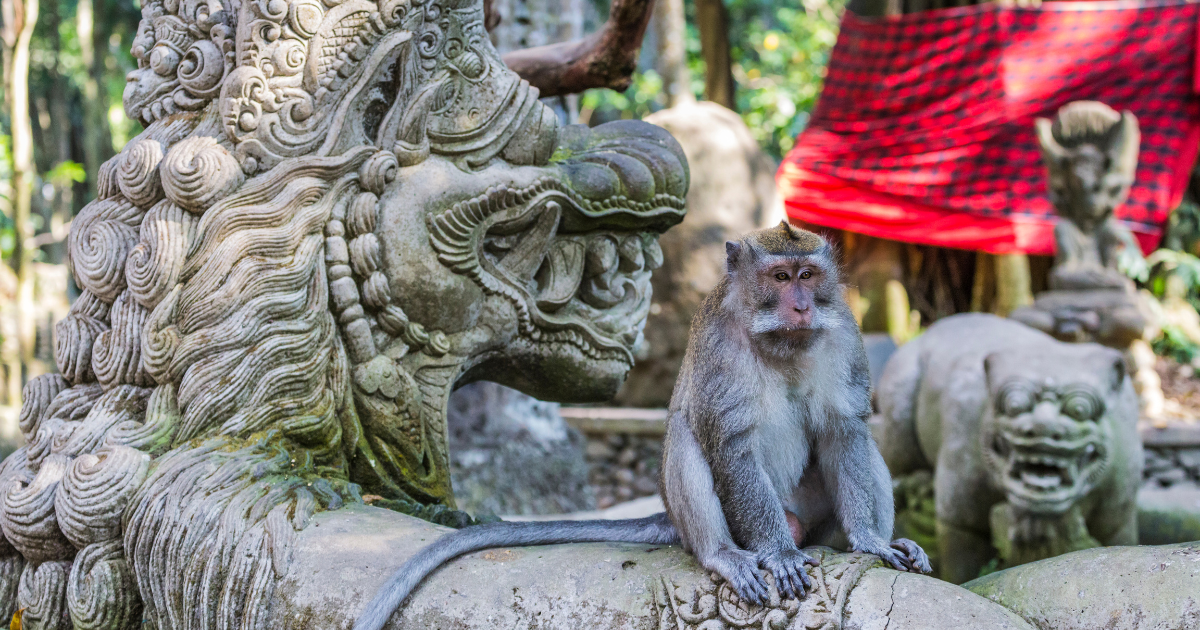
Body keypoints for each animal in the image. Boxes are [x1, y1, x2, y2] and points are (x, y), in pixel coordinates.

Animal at [350, 220, 931, 628]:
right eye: (780, 277)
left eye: (808, 275)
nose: (803, 305)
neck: (779, 340)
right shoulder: (718, 341)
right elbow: (730, 444)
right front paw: (779, 554)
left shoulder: (844, 334)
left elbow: (844, 431)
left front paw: (869, 542)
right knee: (685, 436)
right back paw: (726, 554)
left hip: (814, 517)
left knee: (863, 446)